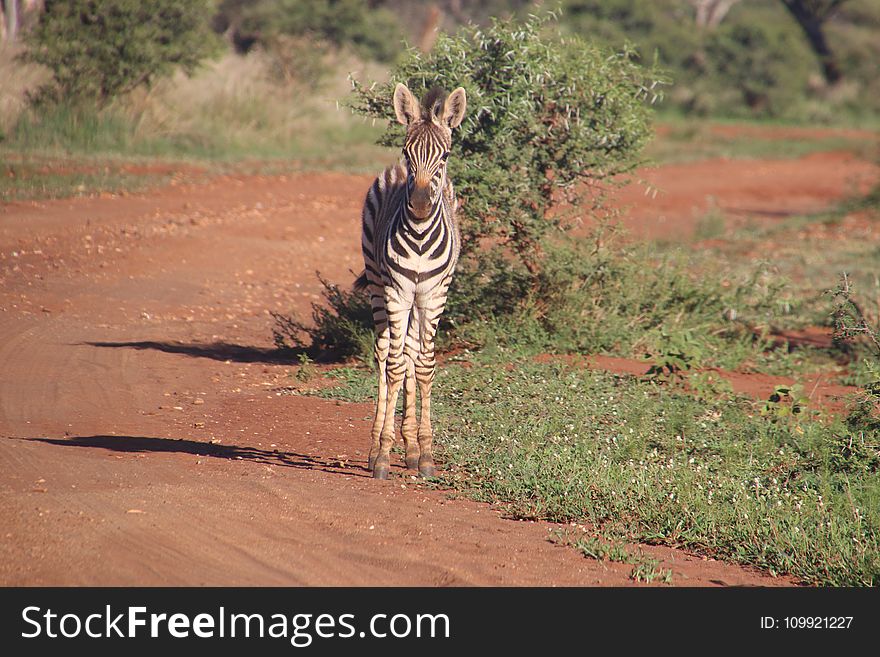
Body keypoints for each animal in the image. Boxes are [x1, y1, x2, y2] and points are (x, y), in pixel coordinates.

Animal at [356, 84, 470, 480]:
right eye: (408, 152)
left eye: (446, 154)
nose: (420, 206)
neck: (420, 236)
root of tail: (391, 172)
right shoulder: (397, 292)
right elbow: (393, 367)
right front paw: (383, 455)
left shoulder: (434, 296)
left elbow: (422, 365)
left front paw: (425, 453)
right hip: (378, 286)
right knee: (385, 354)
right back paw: (377, 446)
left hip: (419, 301)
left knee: (407, 352)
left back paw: (409, 447)